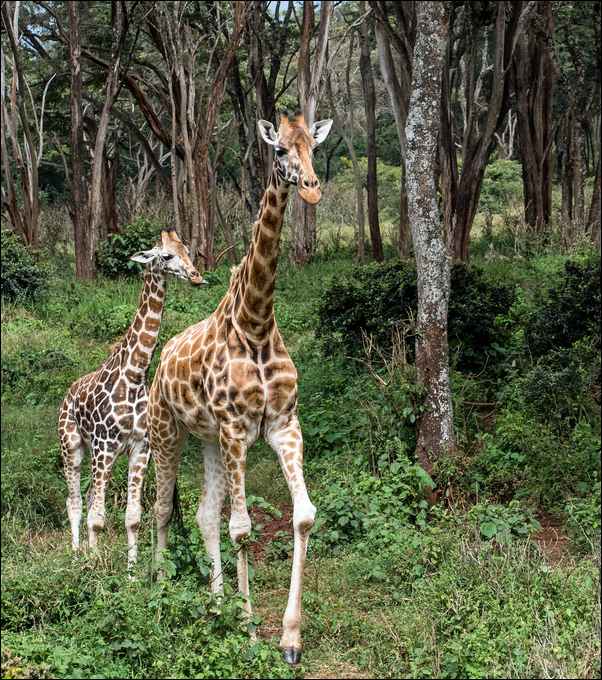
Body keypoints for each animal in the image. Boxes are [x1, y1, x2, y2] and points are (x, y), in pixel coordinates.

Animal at [58, 228, 204, 568]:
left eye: (188, 251)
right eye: (166, 255)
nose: (196, 276)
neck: (135, 374)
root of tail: (69, 392)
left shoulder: (140, 448)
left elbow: (133, 517)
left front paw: (132, 572)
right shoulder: (105, 446)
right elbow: (97, 517)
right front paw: (94, 568)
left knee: (86, 498)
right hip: (73, 447)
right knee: (75, 501)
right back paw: (77, 554)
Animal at [147, 110, 332, 663]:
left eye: (313, 147)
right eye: (280, 150)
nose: (311, 189)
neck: (255, 322)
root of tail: (162, 358)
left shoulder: (283, 424)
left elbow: (303, 516)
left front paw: (289, 638)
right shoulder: (235, 430)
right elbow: (243, 528)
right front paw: (250, 632)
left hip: (207, 440)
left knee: (204, 515)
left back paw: (215, 605)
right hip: (168, 432)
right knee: (162, 509)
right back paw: (159, 593)